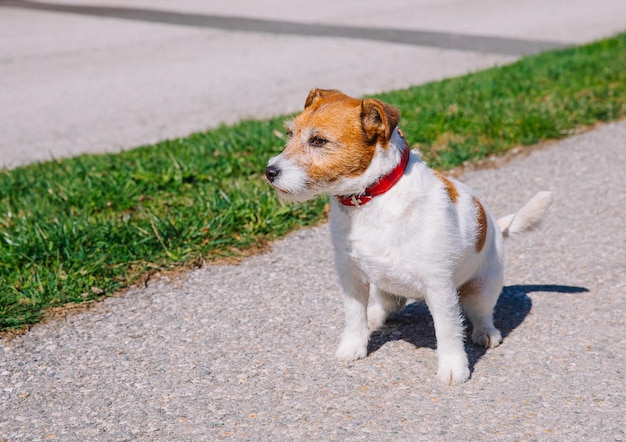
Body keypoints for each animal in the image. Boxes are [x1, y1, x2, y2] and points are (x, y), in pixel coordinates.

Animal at [264, 88, 552, 386]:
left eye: (318, 141)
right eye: (289, 134)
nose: (269, 172)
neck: (372, 196)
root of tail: (496, 225)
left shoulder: (439, 286)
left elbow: (448, 330)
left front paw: (453, 368)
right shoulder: (351, 276)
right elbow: (354, 315)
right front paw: (353, 346)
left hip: (482, 288)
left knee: (481, 313)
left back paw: (486, 333)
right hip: (383, 284)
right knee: (390, 303)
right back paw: (375, 315)